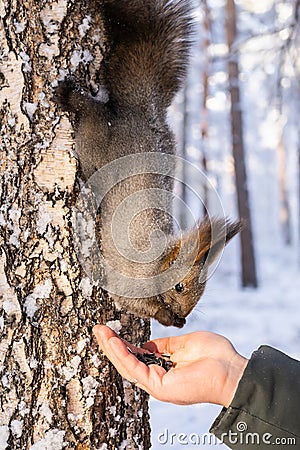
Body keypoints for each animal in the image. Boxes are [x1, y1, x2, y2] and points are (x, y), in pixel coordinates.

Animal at [54, 0, 241, 326]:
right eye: (179, 286)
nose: (183, 318)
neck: (156, 265)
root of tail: (140, 112)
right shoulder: (130, 279)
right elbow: (134, 302)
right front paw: (166, 317)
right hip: (96, 141)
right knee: (91, 113)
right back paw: (70, 96)